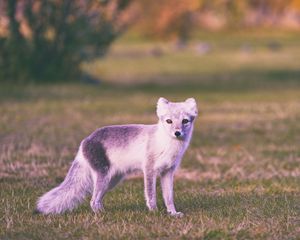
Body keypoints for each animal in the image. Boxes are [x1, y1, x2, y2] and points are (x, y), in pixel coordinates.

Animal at [36, 96, 198, 217]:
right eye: (169, 121)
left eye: (185, 121)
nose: (177, 133)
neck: (167, 145)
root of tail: (85, 141)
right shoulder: (149, 170)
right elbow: (151, 195)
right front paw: (154, 213)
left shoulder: (168, 172)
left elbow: (169, 197)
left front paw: (173, 213)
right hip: (103, 177)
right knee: (93, 201)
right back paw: (101, 215)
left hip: (112, 180)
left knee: (97, 199)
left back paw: (104, 212)